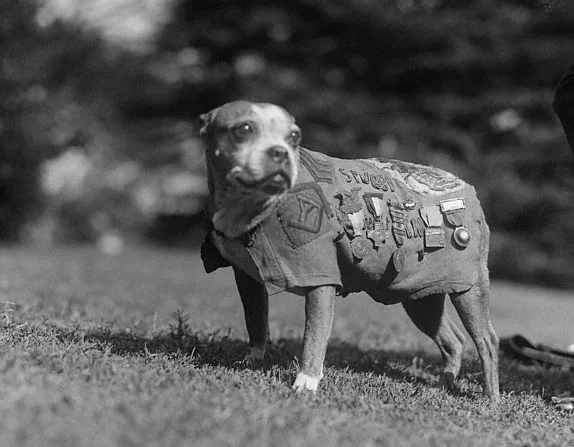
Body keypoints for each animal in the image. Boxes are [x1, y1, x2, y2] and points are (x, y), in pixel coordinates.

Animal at [200, 101, 502, 402]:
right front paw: (251, 360)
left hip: (469, 289)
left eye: (295, 136)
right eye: (243, 129)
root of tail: (468, 189)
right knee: (453, 340)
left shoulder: (321, 280)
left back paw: (490, 397)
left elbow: (314, 336)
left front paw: (306, 383)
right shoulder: (247, 279)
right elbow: (256, 322)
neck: (251, 207)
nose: (280, 152)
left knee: (486, 340)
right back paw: (445, 383)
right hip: (420, 296)